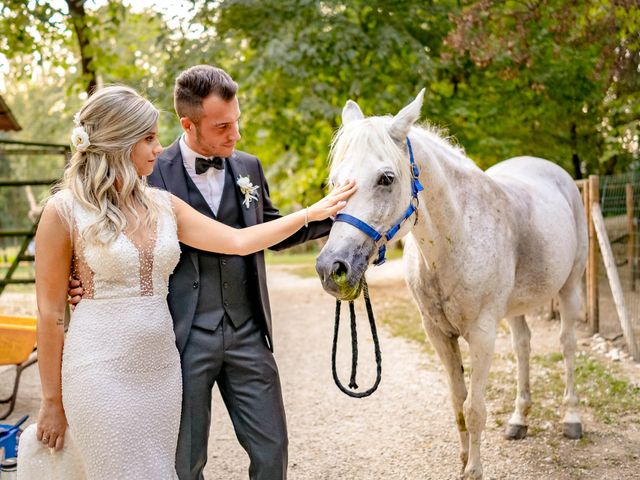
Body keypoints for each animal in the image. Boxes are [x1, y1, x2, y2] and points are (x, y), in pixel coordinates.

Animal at [316, 90, 592, 480]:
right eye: (335, 181)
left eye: (386, 178)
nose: (332, 268)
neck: (458, 236)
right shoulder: (438, 335)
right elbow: (458, 402)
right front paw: (463, 460)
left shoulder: (482, 335)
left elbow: (475, 409)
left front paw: (473, 469)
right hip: (515, 309)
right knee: (523, 347)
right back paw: (519, 420)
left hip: (570, 288)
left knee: (567, 345)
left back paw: (571, 418)